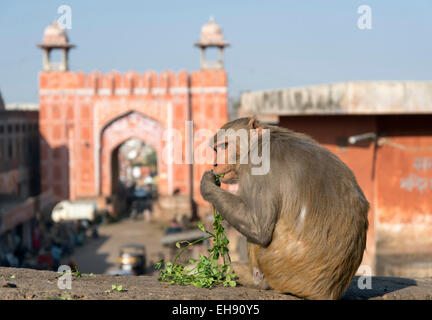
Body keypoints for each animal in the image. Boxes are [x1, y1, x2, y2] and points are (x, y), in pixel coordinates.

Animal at [201, 117, 370, 300]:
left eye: (225, 146)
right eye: (216, 149)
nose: (215, 164)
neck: (262, 140)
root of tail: (326, 292)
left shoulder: (258, 164)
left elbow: (258, 228)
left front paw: (207, 185)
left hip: (275, 269)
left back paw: (255, 280)